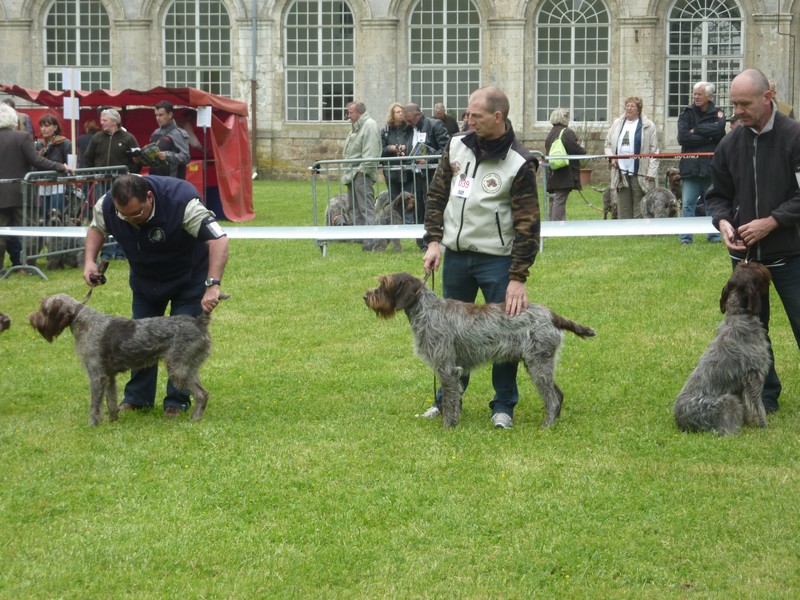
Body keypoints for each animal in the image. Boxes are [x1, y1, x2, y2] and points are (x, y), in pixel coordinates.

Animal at [30, 292, 212, 424]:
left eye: (44, 309)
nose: (31, 319)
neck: (83, 322)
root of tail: (199, 322)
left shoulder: (97, 376)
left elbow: (95, 404)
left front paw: (93, 424)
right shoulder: (109, 376)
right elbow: (111, 401)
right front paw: (113, 421)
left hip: (178, 370)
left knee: (202, 394)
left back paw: (195, 419)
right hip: (189, 368)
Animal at [366, 272, 596, 426]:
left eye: (384, 284)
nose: (365, 296)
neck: (427, 310)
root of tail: (551, 314)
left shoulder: (447, 368)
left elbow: (449, 400)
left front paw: (448, 426)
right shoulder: (451, 370)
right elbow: (454, 399)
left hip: (538, 363)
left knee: (552, 397)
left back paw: (547, 425)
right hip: (540, 363)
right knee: (558, 394)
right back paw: (554, 421)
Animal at [672, 262, 772, 436]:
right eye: (752, 267)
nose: (763, 265)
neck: (738, 315)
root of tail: (681, 422)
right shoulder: (753, 377)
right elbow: (757, 407)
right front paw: (762, 426)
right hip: (728, 401)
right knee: (726, 432)